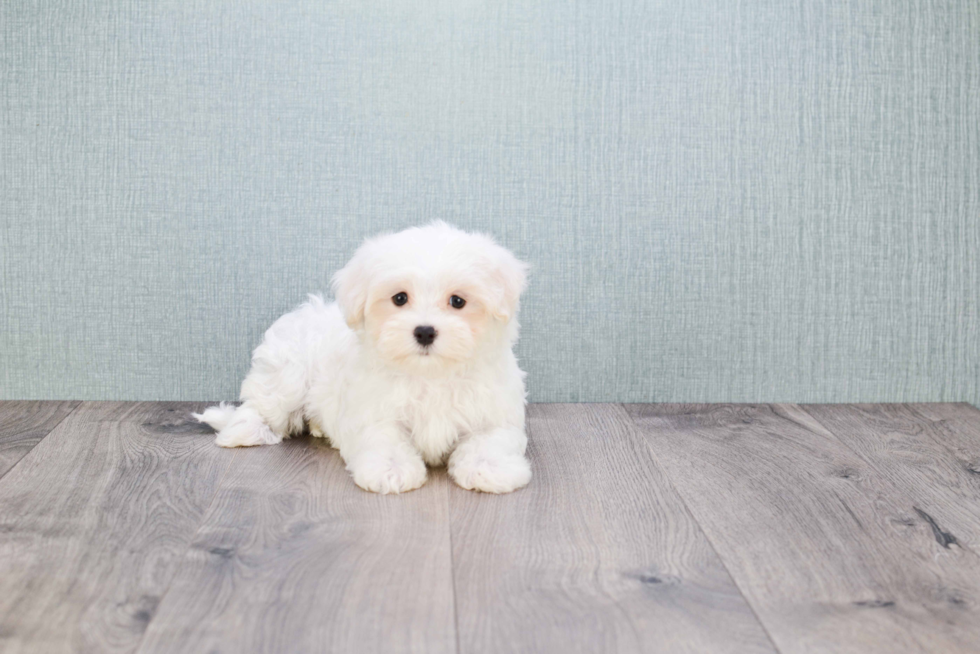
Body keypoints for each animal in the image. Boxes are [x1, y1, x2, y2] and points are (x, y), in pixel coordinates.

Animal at [194, 223, 532, 494]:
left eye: (458, 301)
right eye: (399, 298)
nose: (424, 331)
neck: (430, 374)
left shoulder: (494, 413)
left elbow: (490, 439)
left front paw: (489, 467)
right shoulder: (374, 412)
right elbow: (385, 439)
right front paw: (391, 470)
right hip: (287, 374)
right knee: (261, 405)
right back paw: (243, 431)